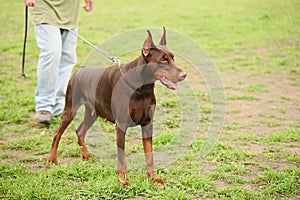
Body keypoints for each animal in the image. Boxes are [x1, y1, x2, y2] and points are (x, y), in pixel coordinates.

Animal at [46, 27, 186, 186]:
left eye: (173, 57)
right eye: (163, 59)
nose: (184, 75)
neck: (142, 87)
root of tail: (80, 68)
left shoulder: (147, 123)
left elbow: (149, 155)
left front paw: (153, 178)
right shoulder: (121, 125)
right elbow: (121, 157)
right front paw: (123, 181)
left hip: (93, 112)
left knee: (80, 130)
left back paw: (86, 154)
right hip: (70, 108)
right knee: (57, 133)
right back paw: (52, 159)